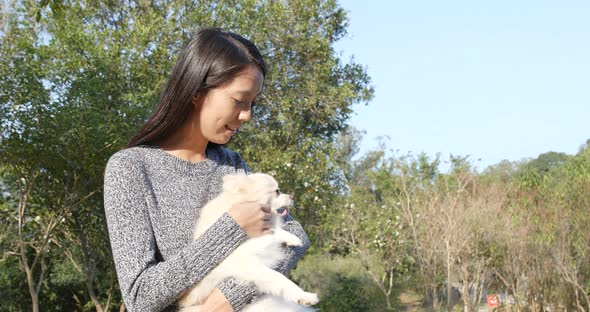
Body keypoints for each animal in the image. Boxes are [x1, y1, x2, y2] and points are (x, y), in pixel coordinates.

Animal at [178, 172, 320, 310]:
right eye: (277, 191)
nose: (291, 197)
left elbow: (276, 231)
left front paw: (292, 239)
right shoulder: (247, 265)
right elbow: (278, 277)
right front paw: (305, 296)